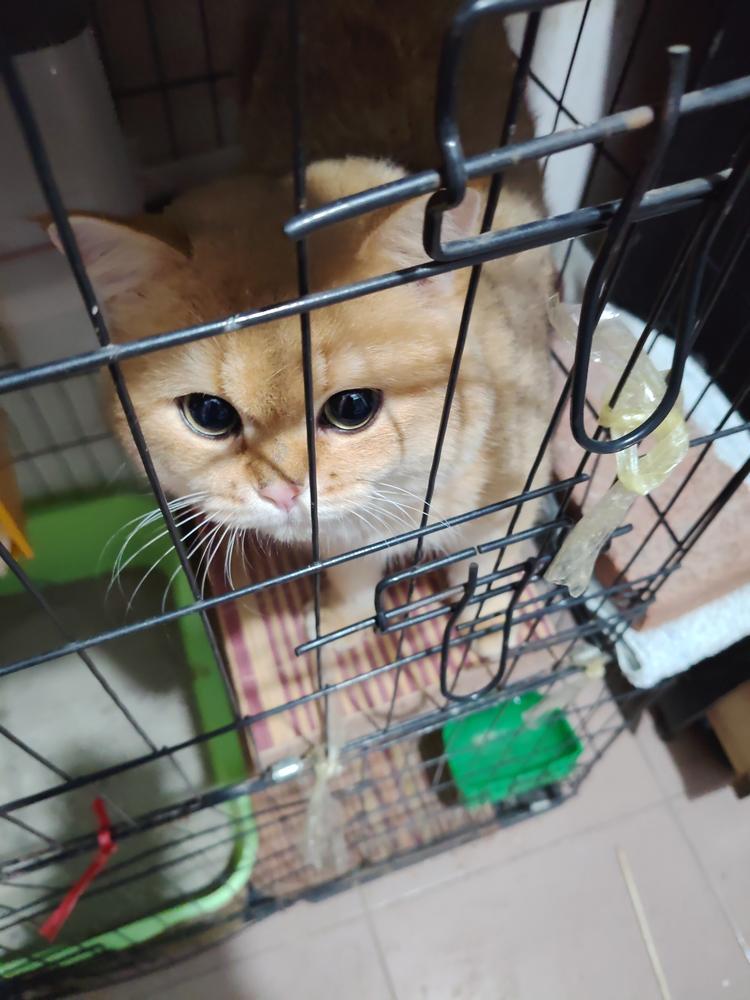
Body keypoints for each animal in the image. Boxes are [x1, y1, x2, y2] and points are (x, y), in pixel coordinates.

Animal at [48, 156, 552, 650]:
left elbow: (491, 568)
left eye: (352, 407)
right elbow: (353, 580)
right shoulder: (342, 547)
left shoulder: (510, 499)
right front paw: (339, 627)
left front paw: (488, 627)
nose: (281, 493)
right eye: (209, 414)